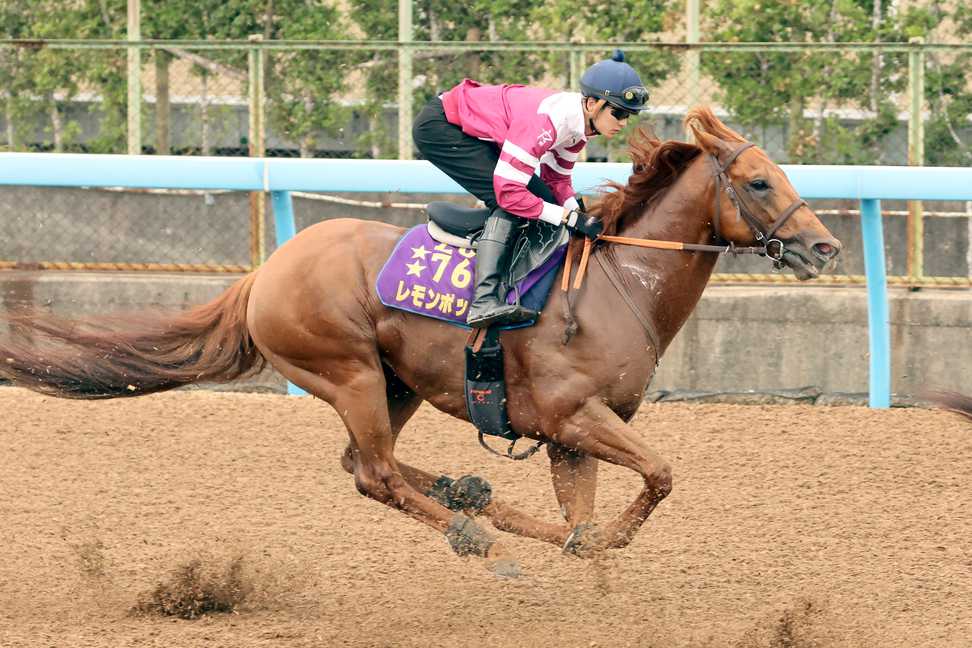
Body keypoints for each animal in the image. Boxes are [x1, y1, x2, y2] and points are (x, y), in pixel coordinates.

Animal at [0, 109, 840, 576]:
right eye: (759, 182)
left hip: (393, 381)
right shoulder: (574, 417)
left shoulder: (573, 436)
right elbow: (657, 478)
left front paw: (578, 549)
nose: (825, 247)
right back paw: (475, 534)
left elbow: (583, 521)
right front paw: (587, 545)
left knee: (365, 464)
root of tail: (268, 270)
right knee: (373, 474)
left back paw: (471, 495)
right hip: (347, 371)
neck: (615, 282)